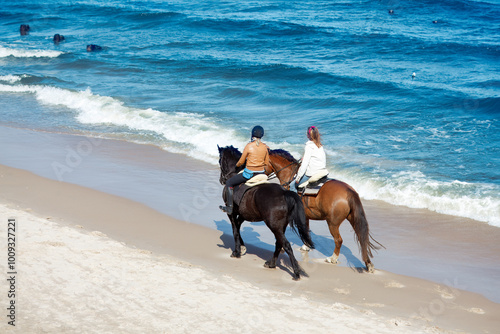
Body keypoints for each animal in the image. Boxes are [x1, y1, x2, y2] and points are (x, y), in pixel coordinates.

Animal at [218, 145, 314, 280]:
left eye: (219, 160)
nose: (222, 180)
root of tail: (284, 192)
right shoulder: (243, 214)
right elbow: (238, 227)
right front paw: (242, 247)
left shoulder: (231, 212)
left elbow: (235, 230)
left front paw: (237, 252)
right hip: (280, 226)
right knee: (279, 243)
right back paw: (271, 263)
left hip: (274, 225)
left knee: (286, 244)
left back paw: (295, 273)